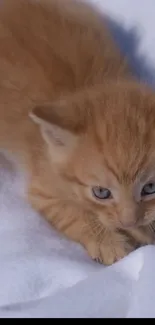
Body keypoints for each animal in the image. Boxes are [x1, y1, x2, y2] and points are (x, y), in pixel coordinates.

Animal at [0, 0, 154, 264]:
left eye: (150, 187)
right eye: (101, 192)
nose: (128, 221)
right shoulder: (43, 189)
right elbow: (71, 212)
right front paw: (107, 242)